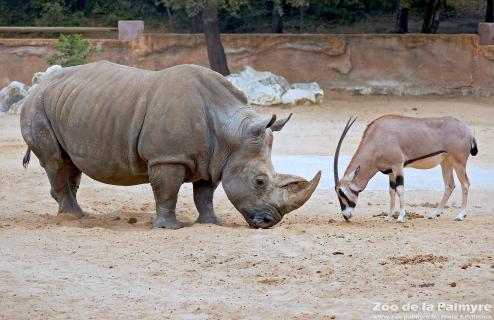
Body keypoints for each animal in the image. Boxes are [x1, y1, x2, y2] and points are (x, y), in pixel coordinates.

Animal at [334, 115, 476, 222]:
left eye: (341, 192)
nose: (346, 216)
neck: (377, 138)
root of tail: (467, 130)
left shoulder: (398, 166)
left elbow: (400, 189)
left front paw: (401, 217)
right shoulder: (390, 171)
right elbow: (391, 191)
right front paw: (388, 216)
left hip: (459, 163)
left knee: (465, 184)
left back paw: (460, 215)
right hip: (446, 163)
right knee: (450, 185)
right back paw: (435, 214)